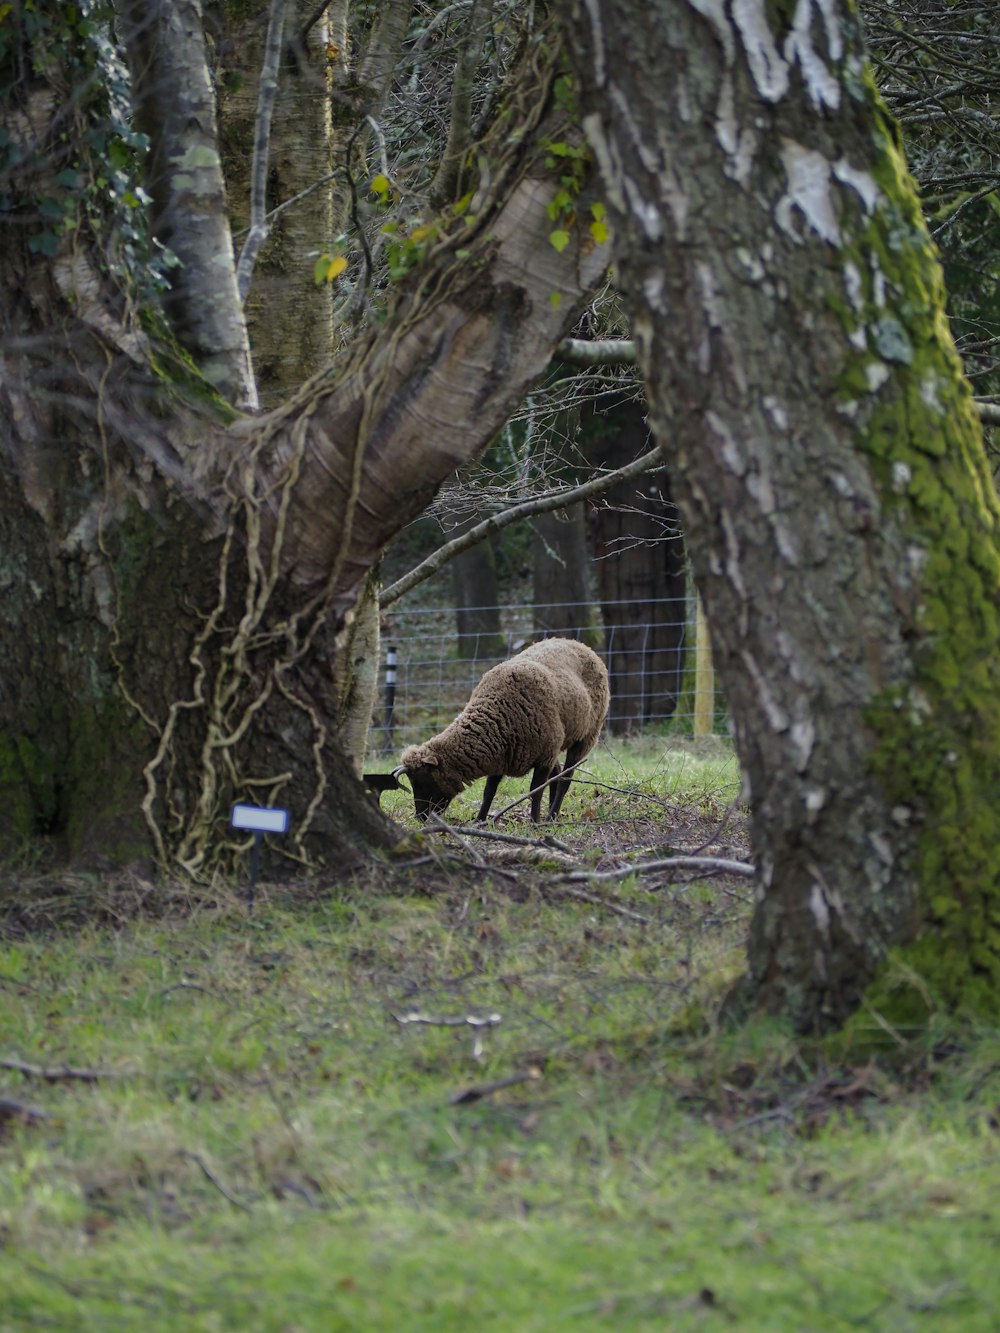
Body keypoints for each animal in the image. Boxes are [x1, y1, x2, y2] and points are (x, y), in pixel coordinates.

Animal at [400, 637, 610, 821]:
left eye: (423, 781)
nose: (420, 817)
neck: (498, 714)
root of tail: (579, 644)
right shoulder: (500, 755)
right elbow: (489, 792)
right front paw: (480, 821)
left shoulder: (542, 757)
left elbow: (535, 790)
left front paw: (534, 823)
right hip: (554, 747)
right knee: (556, 776)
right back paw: (553, 816)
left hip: (585, 737)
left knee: (565, 780)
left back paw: (550, 815)